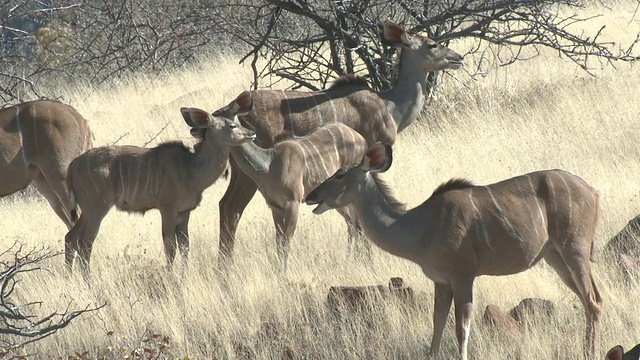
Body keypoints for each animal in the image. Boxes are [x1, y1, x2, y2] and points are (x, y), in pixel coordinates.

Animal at [64, 109, 255, 272]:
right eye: (232, 125)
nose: (252, 133)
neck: (190, 168)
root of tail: (72, 166)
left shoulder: (185, 212)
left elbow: (185, 246)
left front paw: (184, 275)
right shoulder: (167, 208)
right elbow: (170, 246)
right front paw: (171, 276)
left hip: (87, 210)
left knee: (71, 237)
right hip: (97, 208)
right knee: (85, 243)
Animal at [180, 90, 370, 272]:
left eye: (232, 120)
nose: (251, 134)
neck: (269, 166)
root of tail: (360, 138)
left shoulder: (294, 202)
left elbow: (286, 242)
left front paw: (283, 276)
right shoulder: (275, 205)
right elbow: (279, 243)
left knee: (357, 222)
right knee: (352, 222)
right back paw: (353, 258)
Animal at [212, 19, 462, 270]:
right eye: (431, 45)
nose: (458, 57)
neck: (390, 106)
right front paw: (364, 258)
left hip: (239, 171)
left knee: (225, 205)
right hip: (249, 173)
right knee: (233, 208)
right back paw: (226, 268)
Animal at [308, 143, 604, 360]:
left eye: (339, 174)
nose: (311, 195)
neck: (422, 226)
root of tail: (593, 191)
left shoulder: (463, 276)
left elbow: (461, 327)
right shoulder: (441, 281)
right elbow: (438, 323)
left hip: (574, 250)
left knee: (593, 300)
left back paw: (591, 352)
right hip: (555, 258)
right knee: (589, 300)